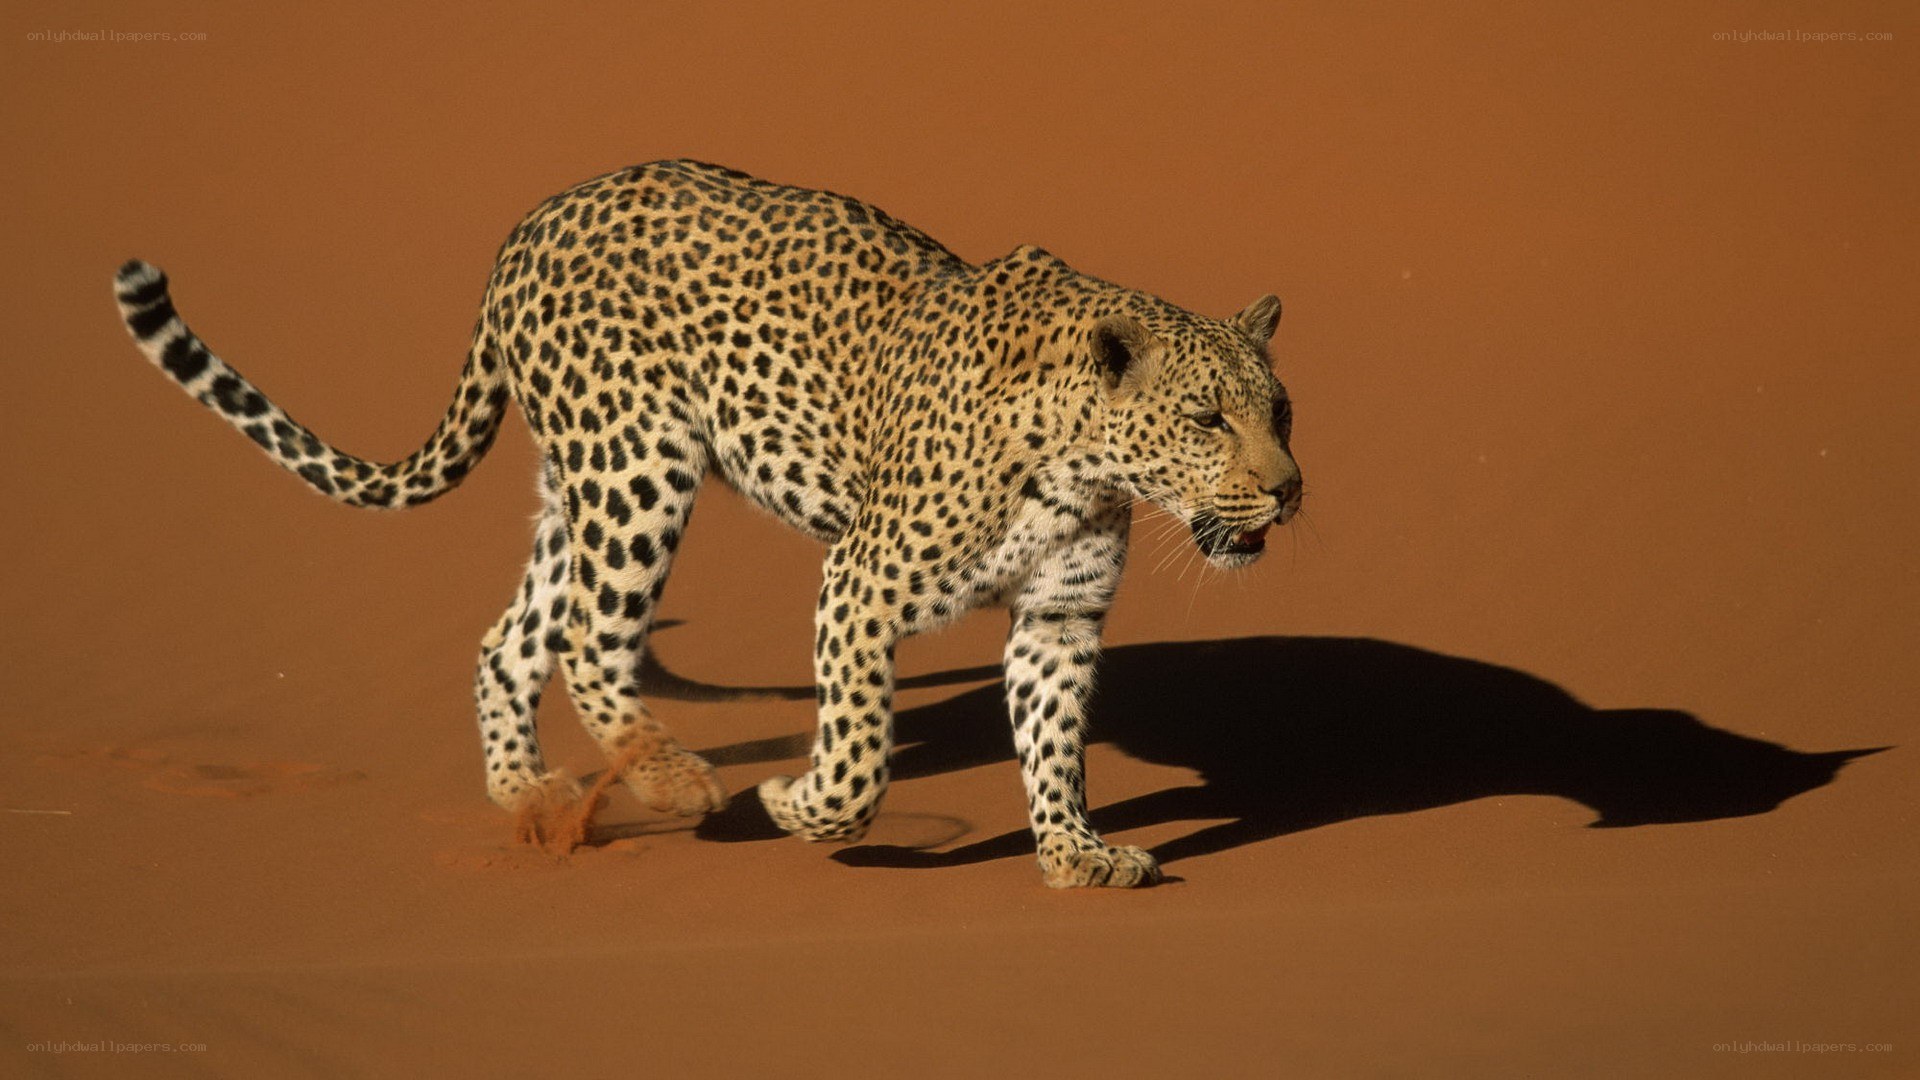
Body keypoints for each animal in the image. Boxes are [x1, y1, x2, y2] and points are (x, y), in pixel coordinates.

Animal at [112, 159, 1303, 888]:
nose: (1289, 490)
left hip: (578, 491)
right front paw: (799, 804)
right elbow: (861, 753)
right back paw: (672, 778)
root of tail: (530, 223)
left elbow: (1055, 746)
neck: (1084, 462)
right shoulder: (859, 583)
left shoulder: (1060, 618)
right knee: (591, 639)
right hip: (639, 468)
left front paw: (1075, 854)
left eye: (1280, 411)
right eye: (1207, 418)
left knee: (513, 639)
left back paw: (531, 795)